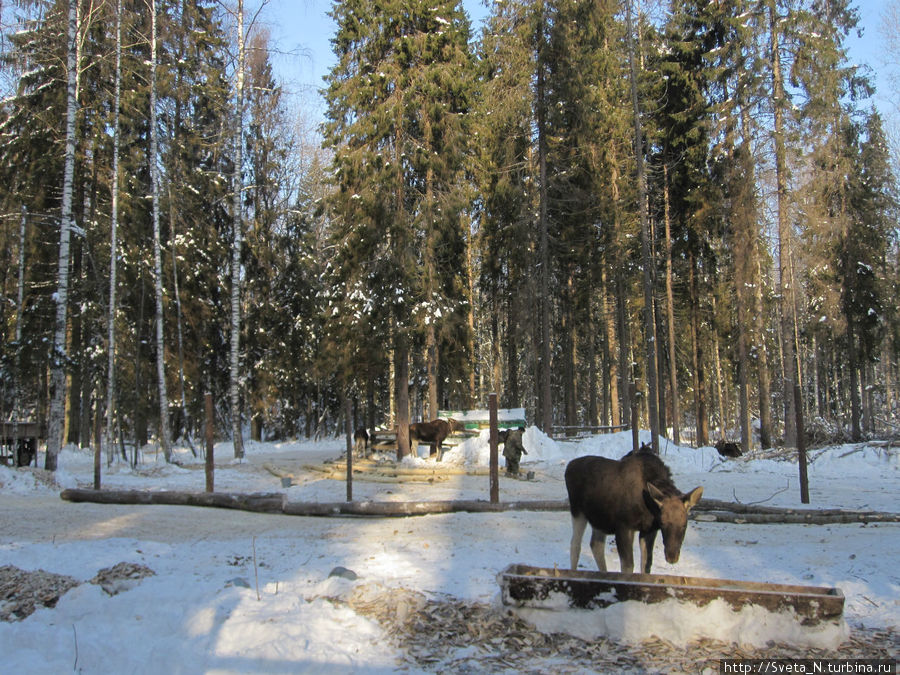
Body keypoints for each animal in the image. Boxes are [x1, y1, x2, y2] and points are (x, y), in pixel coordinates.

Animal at [564, 448, 704, 576]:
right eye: (663, 523)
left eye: (684, 525)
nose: (672, 556)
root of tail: (568, 466)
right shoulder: (623, 527)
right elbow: (628, 566)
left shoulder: (649, 530)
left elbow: (646, 564)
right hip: (577, 511)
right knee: (575, 545)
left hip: (599, 518)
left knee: (596, 545)